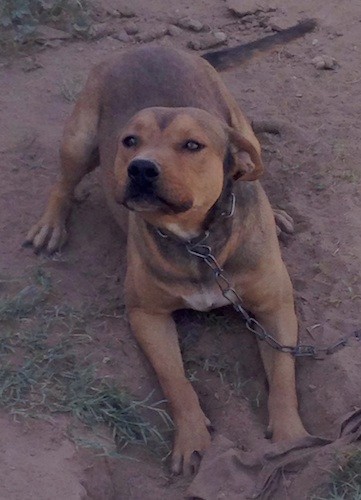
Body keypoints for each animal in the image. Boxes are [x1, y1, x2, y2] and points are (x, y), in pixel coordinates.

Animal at [26, 30, 312, 472]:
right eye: (130, 141)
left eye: (192, 145)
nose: (140, 168)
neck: (197, 242)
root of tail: (148, 46)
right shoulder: (147, 315)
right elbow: (175, 380)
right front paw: (192, 438)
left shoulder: (274, 308)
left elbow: (283, 375)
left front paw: (290, 439)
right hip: (79, 139)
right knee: (64, 182)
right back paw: (51, 225)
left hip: (243, 127)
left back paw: (276, 210)